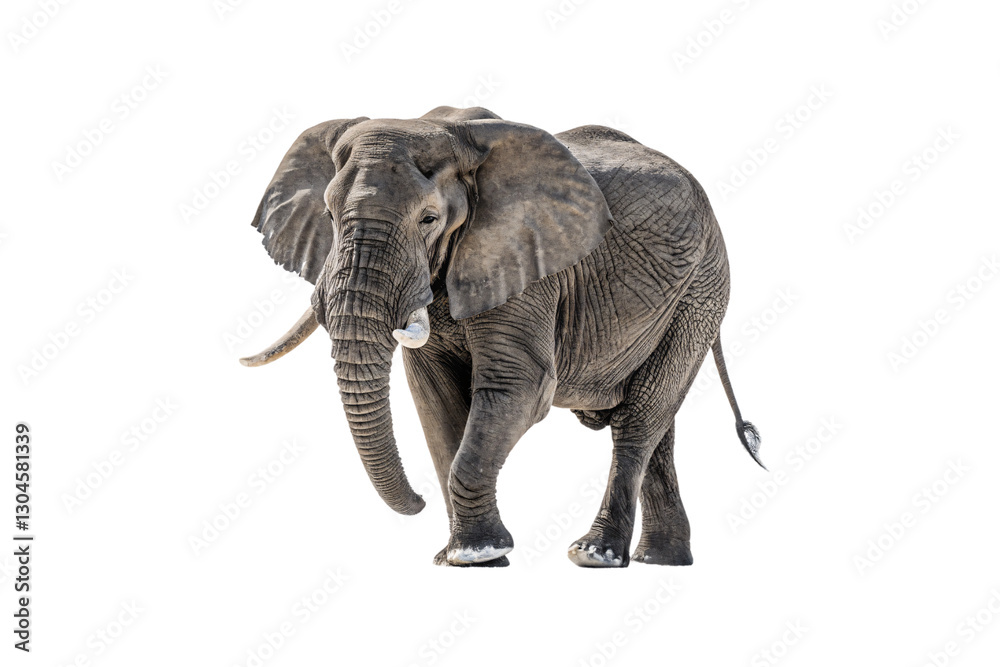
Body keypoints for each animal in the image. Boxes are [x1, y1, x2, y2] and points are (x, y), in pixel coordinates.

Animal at [240, 105, 762, 568]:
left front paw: (478, 554)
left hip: (701, 290)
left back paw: (595, 555)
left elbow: (520, 384)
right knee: (658, 427)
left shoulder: (528, 262)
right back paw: (662, 559)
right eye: (328, 216)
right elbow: (434, 399)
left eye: (429, 220)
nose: (417, 503)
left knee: (641, 417)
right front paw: (459, 557)